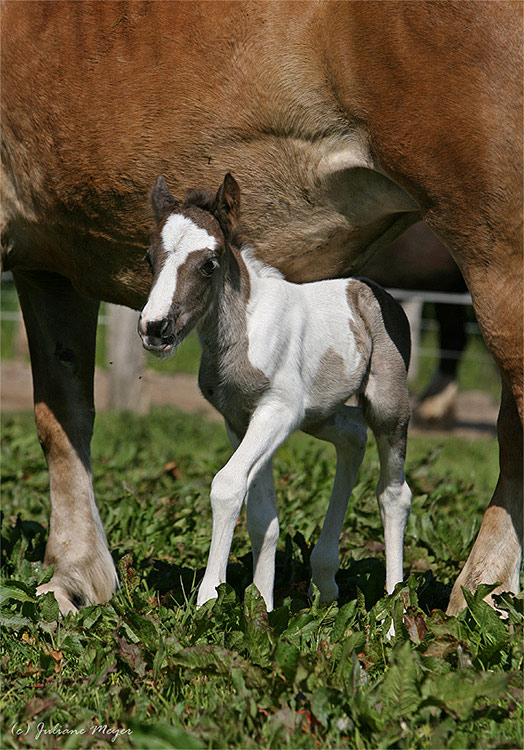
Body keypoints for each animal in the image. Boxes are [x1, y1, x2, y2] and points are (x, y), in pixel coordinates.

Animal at [139, 173, 414, 612]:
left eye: (209, 264)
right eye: (149, 258)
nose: (154, 328)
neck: (243, 330)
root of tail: (378, 292)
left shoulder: (278, 411)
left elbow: (227, 485)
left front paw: (207, 601)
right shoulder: (240, 419)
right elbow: (262, 516)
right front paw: (263, 607)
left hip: (387, 406)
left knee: (394, 494)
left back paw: (393, 609)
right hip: (318, 414)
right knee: (353, 435)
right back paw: (325, 579)